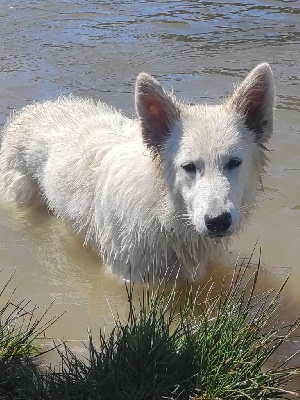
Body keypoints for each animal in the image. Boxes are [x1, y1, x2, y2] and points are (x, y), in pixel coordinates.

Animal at [0, 63, 274, 282]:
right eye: (189, 167)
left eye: (234, 162)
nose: (218, 222)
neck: (164, 213)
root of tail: (32, 109)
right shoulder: (128, 277)